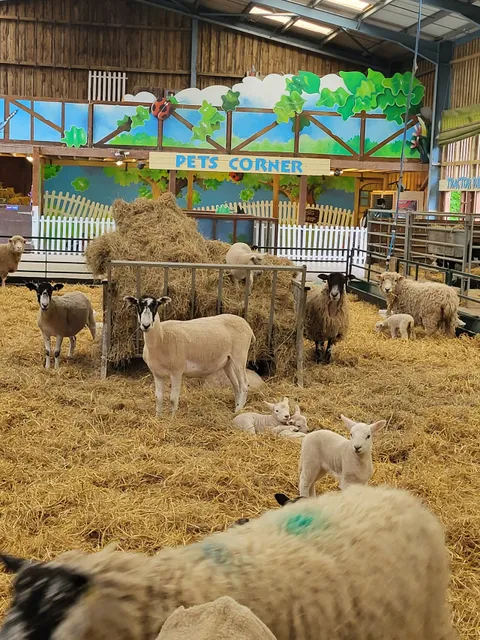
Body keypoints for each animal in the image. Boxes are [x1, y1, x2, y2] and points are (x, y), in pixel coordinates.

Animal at [124, 296, 255, 415]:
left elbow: (173, 399)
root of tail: (248, 326)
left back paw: (238, 411)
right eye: (137, 306)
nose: (145, 325)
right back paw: (236, 408)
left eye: (156, 306)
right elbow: (158, 398)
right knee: (236, 385)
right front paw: (158, 418)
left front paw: (172, 419)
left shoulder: (177, 371)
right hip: (228, 361)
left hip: (240, 356)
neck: (162, 336)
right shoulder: (157, 373)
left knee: (244, 384)